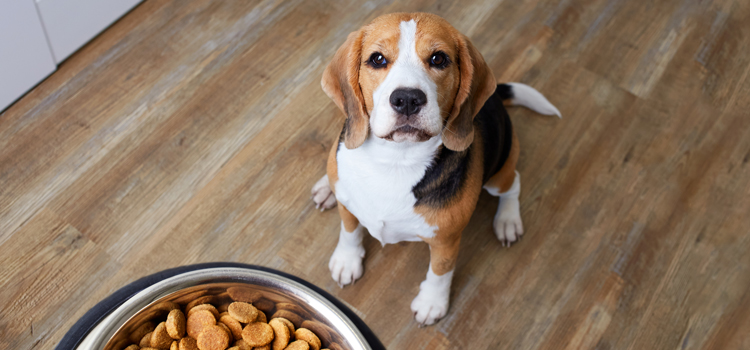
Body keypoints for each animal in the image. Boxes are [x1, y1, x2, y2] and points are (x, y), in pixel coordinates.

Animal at [308, 13, 560, 326]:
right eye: (377, 59)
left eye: (439, 59)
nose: (406, 99)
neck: (395, 161)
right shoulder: (348, 203)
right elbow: (350, 230)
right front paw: (347, 260)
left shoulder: (446, 240)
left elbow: (441, 271)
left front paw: (432, 303)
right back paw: (325, 188)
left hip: (500, 172)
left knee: (514, 183)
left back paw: (508, 220)